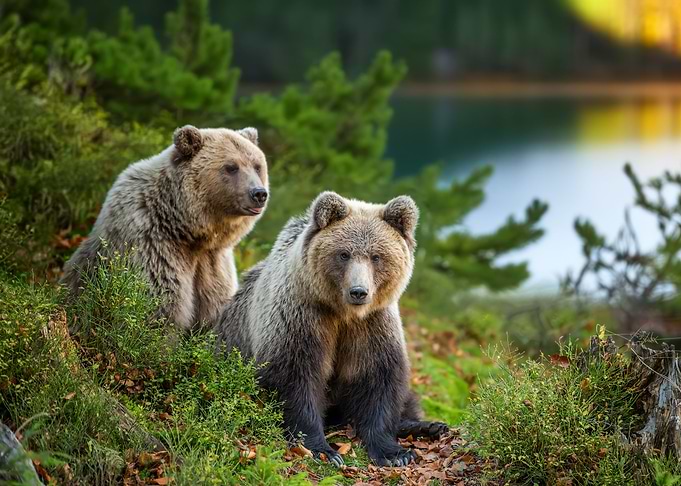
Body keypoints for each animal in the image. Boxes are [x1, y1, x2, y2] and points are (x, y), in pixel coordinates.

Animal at [62, 125, 268, 330]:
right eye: (231, 167)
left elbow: (214, 304)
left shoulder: (212, 262)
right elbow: (161, 305)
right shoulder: (153, 246)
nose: (259, 193)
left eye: (257, 166)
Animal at [216, 191, 447, 467]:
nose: (358, 291)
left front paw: (395, 453)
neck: (342, 313)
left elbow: (379, 379)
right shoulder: (301, 315)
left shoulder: (372, 324)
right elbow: (296, 376)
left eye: (376, 256)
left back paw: (428, 426)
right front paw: (322, 450)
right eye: (344, 254)